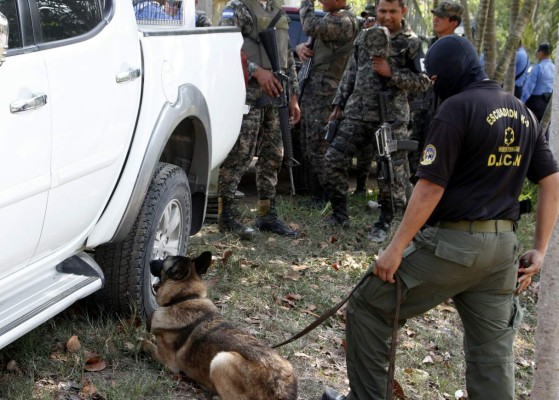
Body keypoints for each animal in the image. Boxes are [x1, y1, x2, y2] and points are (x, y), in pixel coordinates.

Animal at [141, 252, 298, 398]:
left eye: (164, 259)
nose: (150, 261)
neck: (184, 299)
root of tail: (281, 389)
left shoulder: (168, 362)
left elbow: (146, 343)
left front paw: (137, 343)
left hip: (221, 359)